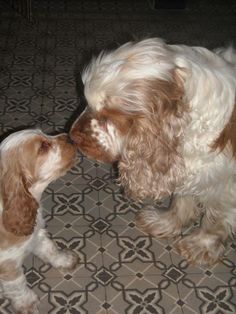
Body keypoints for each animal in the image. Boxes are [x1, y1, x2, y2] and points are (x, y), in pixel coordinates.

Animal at [0, 129, 79, 312]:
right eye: (43, 147)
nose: (69, 137)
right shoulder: (7, 264)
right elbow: (18, 284)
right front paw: (27, 302)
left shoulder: (36, 234)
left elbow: (50, 248)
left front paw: (65, 260)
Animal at [70, 38, 236, 266]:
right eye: (87, 103)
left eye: (109, 116)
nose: (72, 135)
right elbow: (181, 200)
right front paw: (164, 223)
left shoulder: (224, 185)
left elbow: (215, 220)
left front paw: (200, 246)